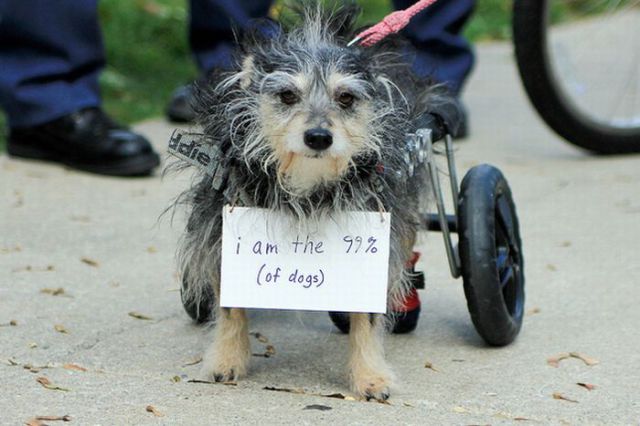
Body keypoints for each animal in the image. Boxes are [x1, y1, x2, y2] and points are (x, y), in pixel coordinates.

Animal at [172, 3, 448, 402]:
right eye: (287, 95)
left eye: (345, 98)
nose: (318, 136)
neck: (307, 182)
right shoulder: (221, 231)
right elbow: (229, 307)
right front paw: (227, 358)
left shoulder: (379, 241)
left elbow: (368, 316)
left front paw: (370, 376)